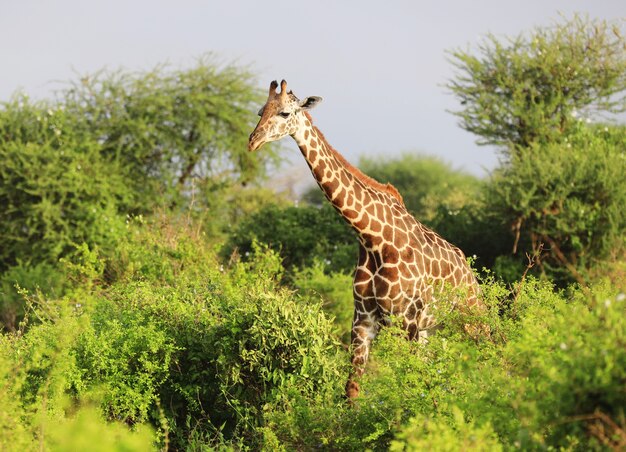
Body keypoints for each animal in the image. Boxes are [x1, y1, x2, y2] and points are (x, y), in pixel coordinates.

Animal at [246, 79, 480, 398]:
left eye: (284, 112)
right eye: (260, 111)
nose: (253, 141)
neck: (371, 238)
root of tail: (469, 271)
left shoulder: (406, 319)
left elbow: (407, 385)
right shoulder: (364, 320)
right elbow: (352, 390)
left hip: (470, 318)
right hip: (431, 329)